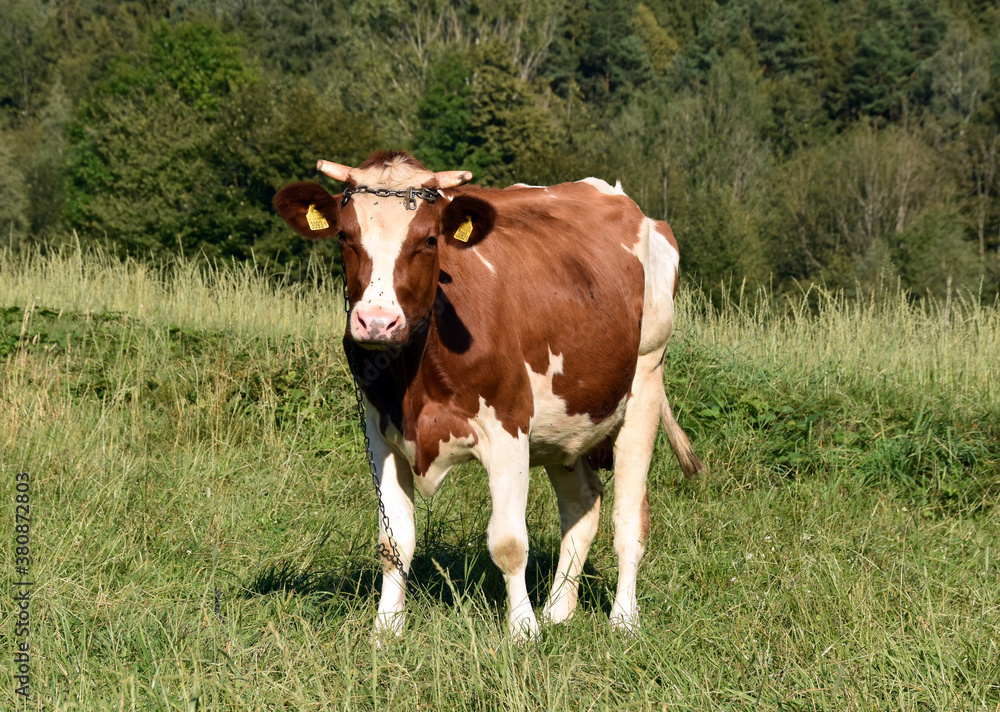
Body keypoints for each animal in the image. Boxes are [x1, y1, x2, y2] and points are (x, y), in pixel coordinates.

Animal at [274, 152, 704, 640]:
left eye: (429, 239)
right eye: (346, 237)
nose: (377, 322)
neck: (416, 374)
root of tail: (629, 205)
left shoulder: (508, 428)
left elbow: (509, 542)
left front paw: (523, 630)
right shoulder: (381, 434)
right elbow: (393, 541)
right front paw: (386, 629)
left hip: (645, 383)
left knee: (628, 519)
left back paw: (623, 620)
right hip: (565, 423)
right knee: (582, 504)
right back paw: (559, 610)